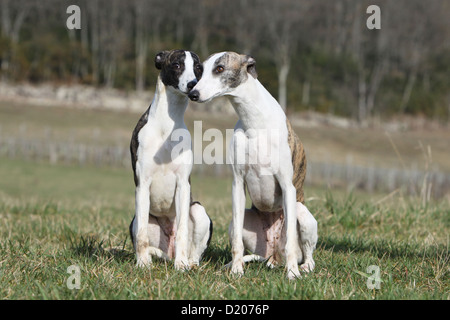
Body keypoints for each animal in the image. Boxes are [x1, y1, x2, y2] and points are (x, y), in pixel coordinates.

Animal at [130, 50, 213, 270]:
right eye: (176, 65)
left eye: (198, 68)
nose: (193, 84)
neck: (166, 125)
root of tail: (169, 253)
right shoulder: (143, 184)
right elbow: (141, 235)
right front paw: (143, 264)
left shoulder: (183, 185)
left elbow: (183, 230)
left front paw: (181, 265)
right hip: (137, 219)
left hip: (198, 210)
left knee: (195, 251)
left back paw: (188, 262)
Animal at [188, 51, 318, 278]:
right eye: (200, 70)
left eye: (220, 68)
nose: (193, 94)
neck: (255, 122)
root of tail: (273, 255)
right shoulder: (238, 183)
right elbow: (237, 244)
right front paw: (236, 269)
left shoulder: (287, 186)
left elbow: (291, 243)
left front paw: (292, 274)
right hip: (238, 225)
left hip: (302, 214)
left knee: (303, 252)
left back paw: (302, 266)